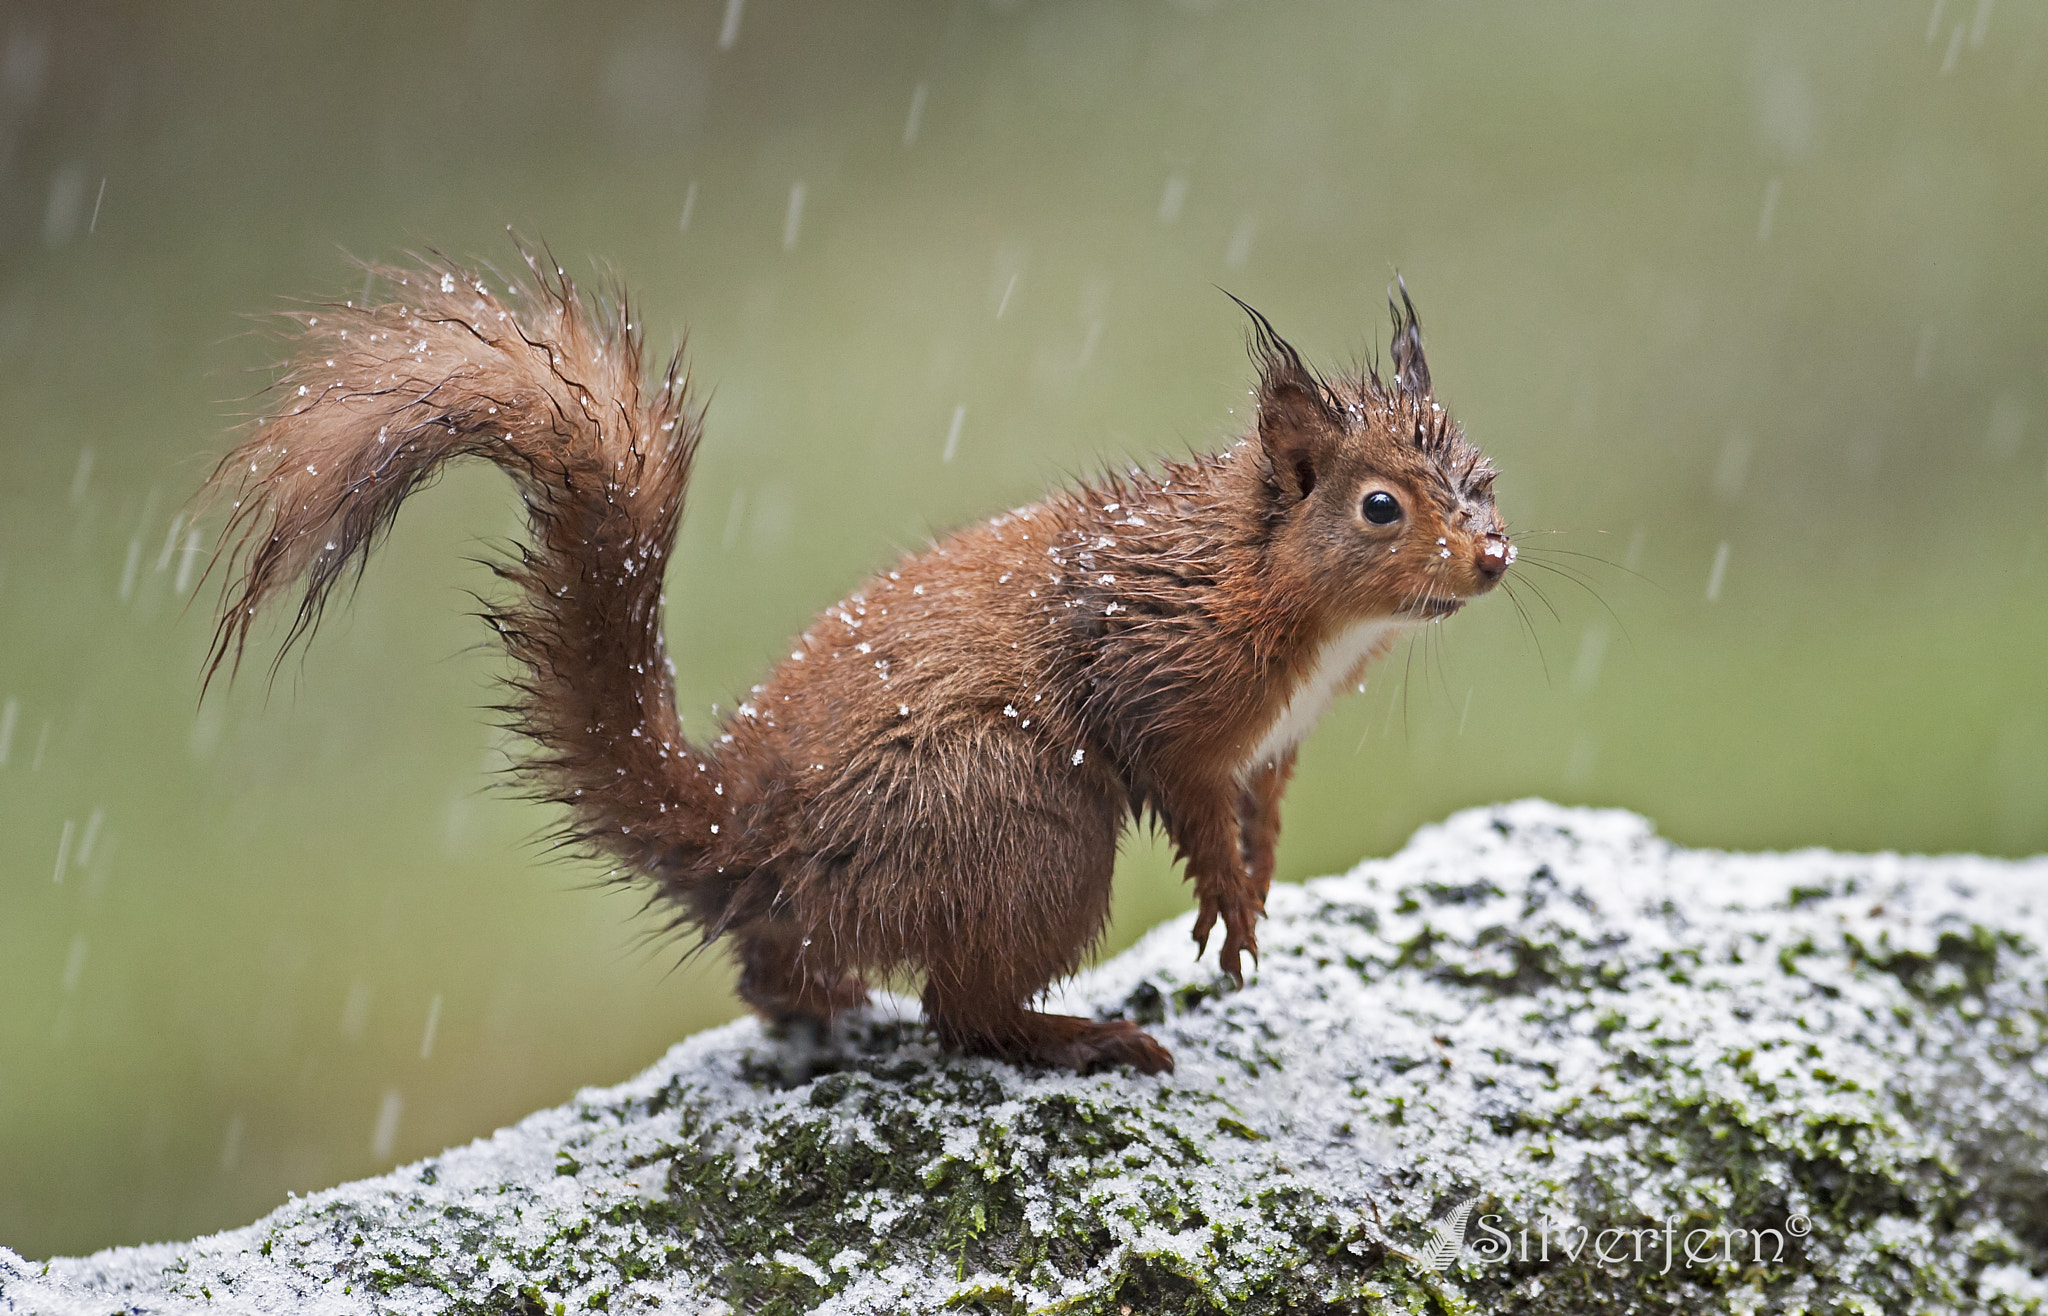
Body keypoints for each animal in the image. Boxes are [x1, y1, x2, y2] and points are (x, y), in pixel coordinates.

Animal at [202, 253, 1512, 1077]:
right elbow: (1187, 797)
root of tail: (740, 830)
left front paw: (1257, 892)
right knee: (959, 1011)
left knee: (777, 974)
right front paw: (1227, 902)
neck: (1269, 587)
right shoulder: (1163, 682)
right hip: (1021, 821)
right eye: (1382, 507)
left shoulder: (1272, 746)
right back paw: (1079, 1036)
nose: (1493, 555)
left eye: (1485, 476)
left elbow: (1261, 808)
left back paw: (820, 999)